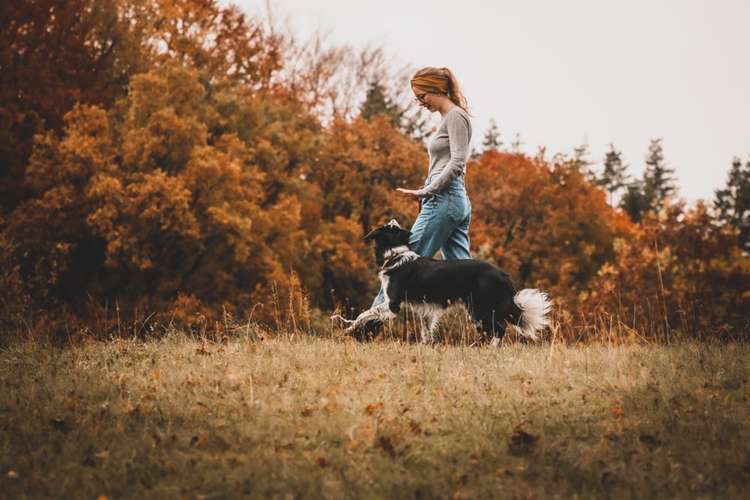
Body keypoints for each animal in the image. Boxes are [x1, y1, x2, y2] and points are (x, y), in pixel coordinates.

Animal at [334, 220, 552, 344]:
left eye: (389, 226)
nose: (393, 218)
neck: (396, 254)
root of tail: (503, 274)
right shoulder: (424, 308)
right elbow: (425, 330)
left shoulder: (393, 303)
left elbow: (365, 313)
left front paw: (349, 326)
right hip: (478, 308)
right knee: (496, 330)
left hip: (479, 307)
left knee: (498, 330)